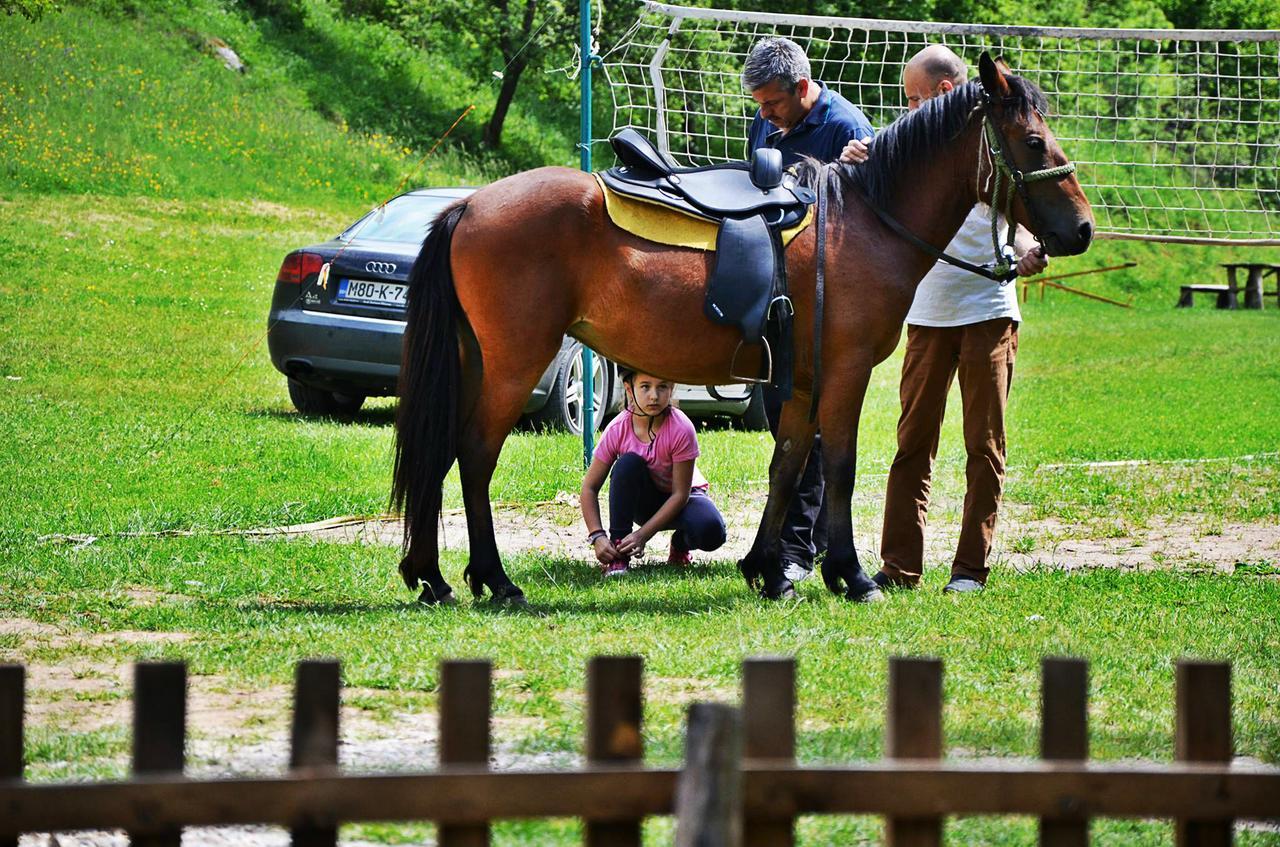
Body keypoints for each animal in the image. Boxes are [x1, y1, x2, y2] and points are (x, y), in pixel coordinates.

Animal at [386, 53, 1090, 606]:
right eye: (1033, 142)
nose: (1081, 229)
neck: (862, 221)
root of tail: (469, 203)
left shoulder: (802, 382)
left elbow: (788, 465)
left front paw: (768, 572)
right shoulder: (846, 370)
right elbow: (839, 464)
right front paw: (851, 575)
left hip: (475, 361)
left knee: (442, 448)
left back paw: (432, 577)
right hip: (514, 363)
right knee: (475, 454)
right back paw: (493, 579)